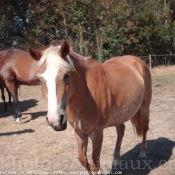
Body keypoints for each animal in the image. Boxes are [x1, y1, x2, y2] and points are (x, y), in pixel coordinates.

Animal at [28, 41, 151, 174]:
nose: (55, 121)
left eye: (66, 75)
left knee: (144, 128)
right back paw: (116, 160)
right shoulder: (79, 132)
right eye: (38, 79)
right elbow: (83, 160)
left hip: (144, 108)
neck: (85, 94)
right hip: (119, 115)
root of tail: (138, 61)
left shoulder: (97, 133)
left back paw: (143, 152)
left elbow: (94, 164)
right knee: (121, 131)